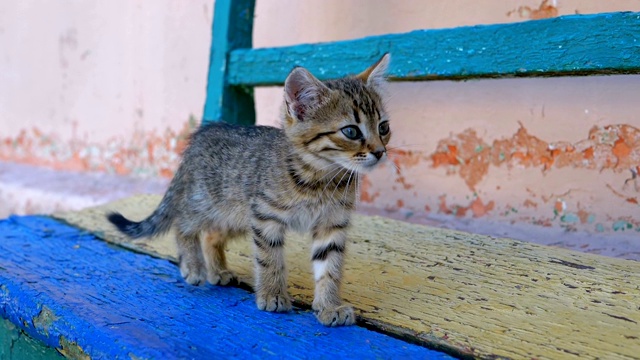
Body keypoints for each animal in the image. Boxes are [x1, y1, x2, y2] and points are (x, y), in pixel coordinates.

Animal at [106, 53, 390, 326]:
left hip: (235, 216)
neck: (322, 178)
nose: (380, 152)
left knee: (211, 235)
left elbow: (330, 268)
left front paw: (329, 306)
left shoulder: (331, 224)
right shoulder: (265, 216)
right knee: (183, 223)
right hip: (206, 202)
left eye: (383, 127)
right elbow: (270, 259)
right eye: (351, 131)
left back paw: (218, 270)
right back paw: (194, 265)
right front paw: (272, 293)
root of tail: (201, 136)